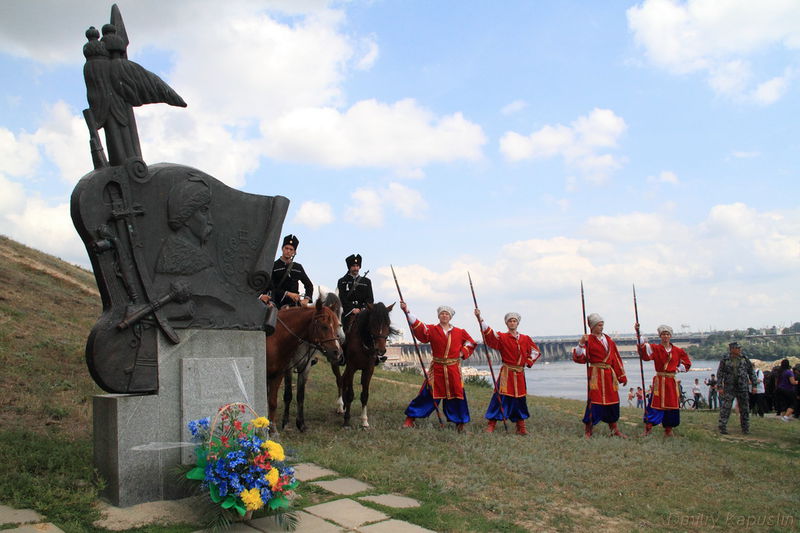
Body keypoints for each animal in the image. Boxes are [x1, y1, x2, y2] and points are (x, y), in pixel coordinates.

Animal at [268, 300, 342, 432]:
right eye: (324, 326)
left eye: (338, 325)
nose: (337, 353)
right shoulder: (288, 368)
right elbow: (288, 395)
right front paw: (285, 423)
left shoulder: (305, 368)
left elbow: (300, 395)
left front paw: (301, 424)